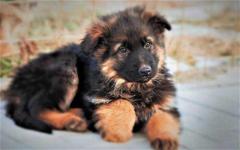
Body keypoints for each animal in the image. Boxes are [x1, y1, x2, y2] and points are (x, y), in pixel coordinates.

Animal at [3, 6, 180, 149]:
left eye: (148, 44)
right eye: (123, 50)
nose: (146, 71)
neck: (136, 88)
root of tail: (15, 85)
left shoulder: (165, 102)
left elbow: (163, 115)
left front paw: (165, 138)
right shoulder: (98, 99)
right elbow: (122, 102)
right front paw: (118, 131)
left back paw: (76, 116)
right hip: (65, 65)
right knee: (37, 107)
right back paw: (70, 121)